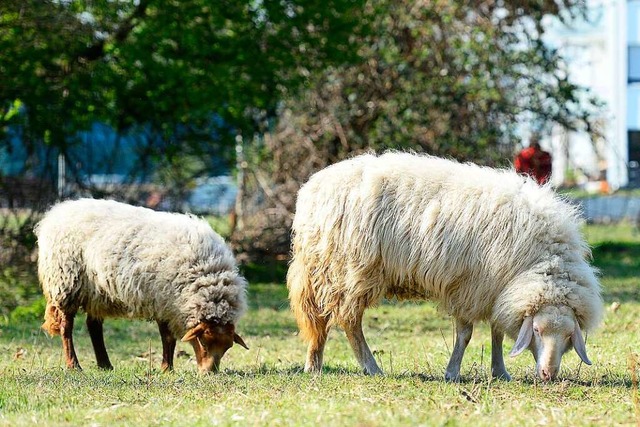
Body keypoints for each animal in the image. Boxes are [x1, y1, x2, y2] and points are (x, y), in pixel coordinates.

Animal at [34, 199, 250, 372]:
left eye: (227, 347)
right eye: (203, 342)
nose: (209, 373)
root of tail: (59, 210)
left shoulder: (168, 304)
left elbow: (168, 338)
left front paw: (167, 368)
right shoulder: (164, 301)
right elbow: (168, 337)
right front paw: (166, 369)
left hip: (97, 292)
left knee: (93, 326)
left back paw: (105, 365)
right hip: (66, 283)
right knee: (66, 328)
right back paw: (74, 365)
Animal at [288, 152, 604, 382]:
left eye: (568, 336)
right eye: (536, 330)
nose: (549, 374)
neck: (542, 259)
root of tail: (311, 190)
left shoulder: (495, 289)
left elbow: (497, 333)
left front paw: (500, 372)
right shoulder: (469, 286)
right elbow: (466, 335)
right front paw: (452, 372)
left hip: (323, 272)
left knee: (319, 321)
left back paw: (313, 365)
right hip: (351, 271)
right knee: (349, 322)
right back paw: (371, 367)